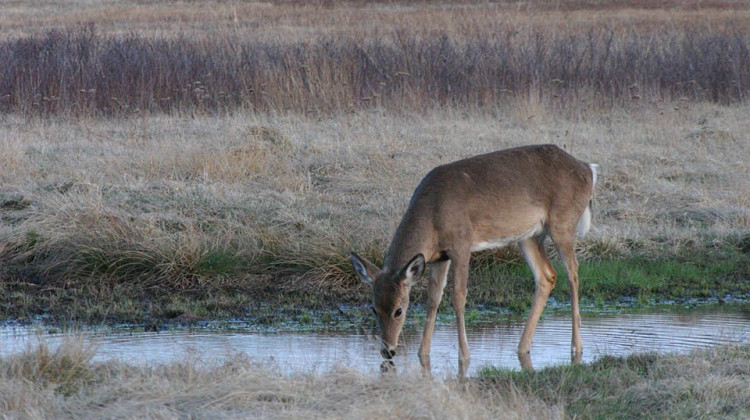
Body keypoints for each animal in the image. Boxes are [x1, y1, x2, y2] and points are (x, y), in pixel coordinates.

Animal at [352, 144, 600, 374]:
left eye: (399, 310)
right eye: (373, 308)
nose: (388, 351)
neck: (432, 215)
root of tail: (588, 170)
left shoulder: (462, 244)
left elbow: (458, 297)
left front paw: (464, 356)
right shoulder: (439, 257)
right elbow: (434, 298)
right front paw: (423, 354)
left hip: (563, 222)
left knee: (573, 272)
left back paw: (577, 347)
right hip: (528, 235)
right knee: (547, 276)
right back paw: (523, 347)